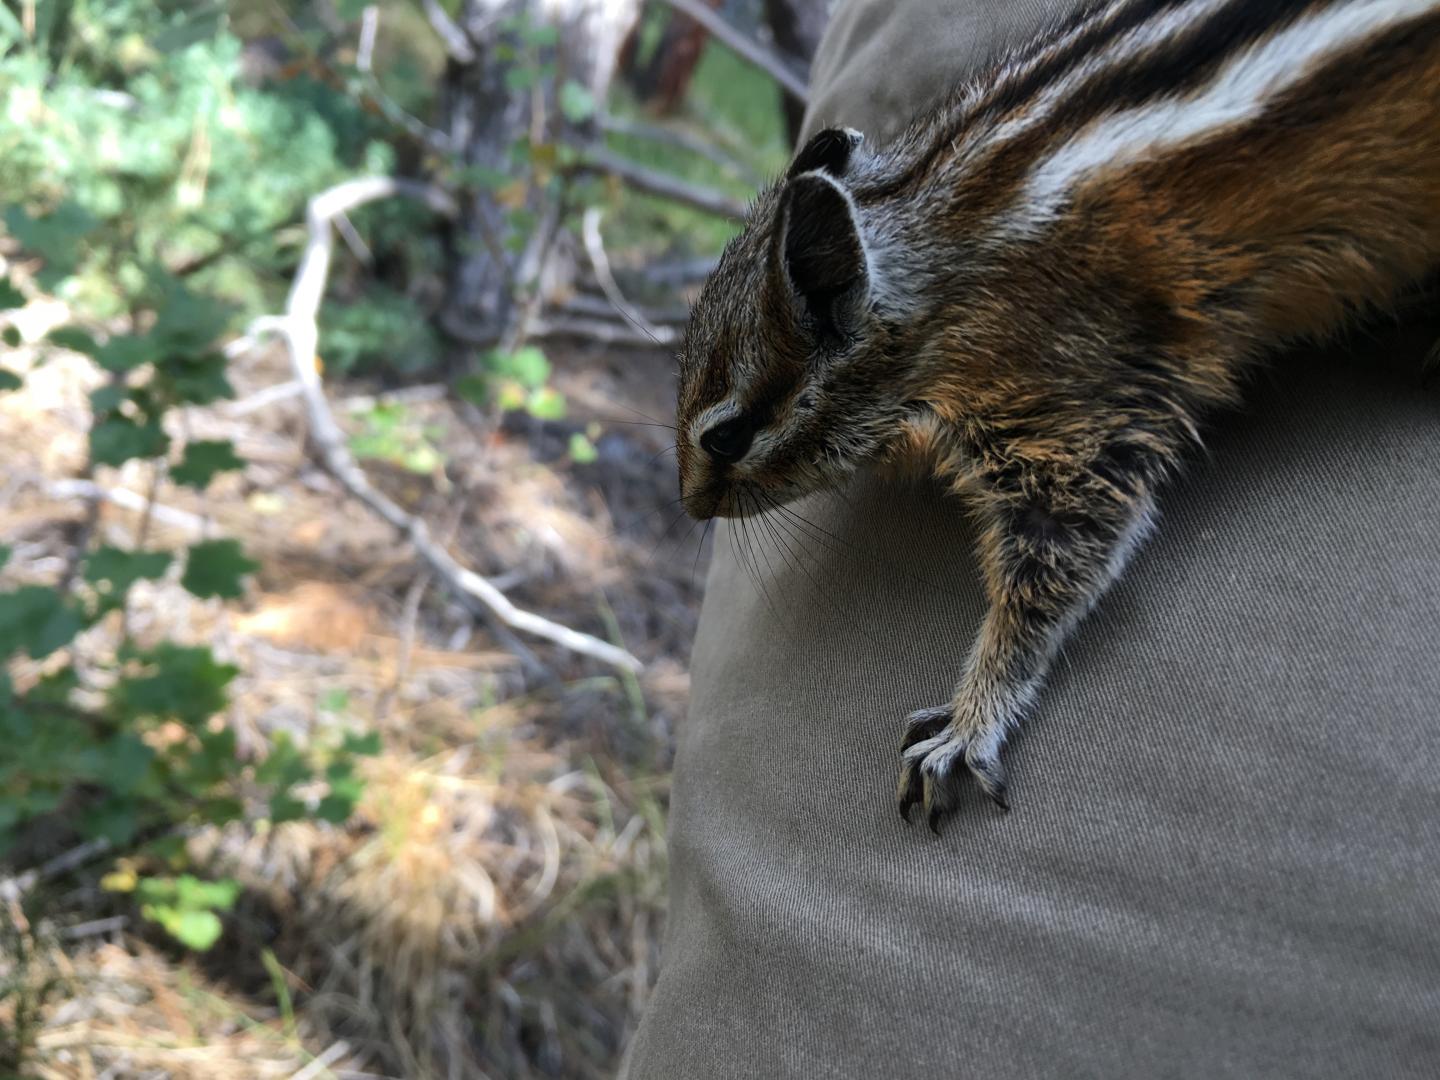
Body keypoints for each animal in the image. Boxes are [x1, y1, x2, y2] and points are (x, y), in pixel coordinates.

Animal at [674, 0, 1440, 831]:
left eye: (727, 435)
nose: (689, 506)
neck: (930, 238)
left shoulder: (1070, 404)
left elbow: (1060, 563)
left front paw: (969, 721)